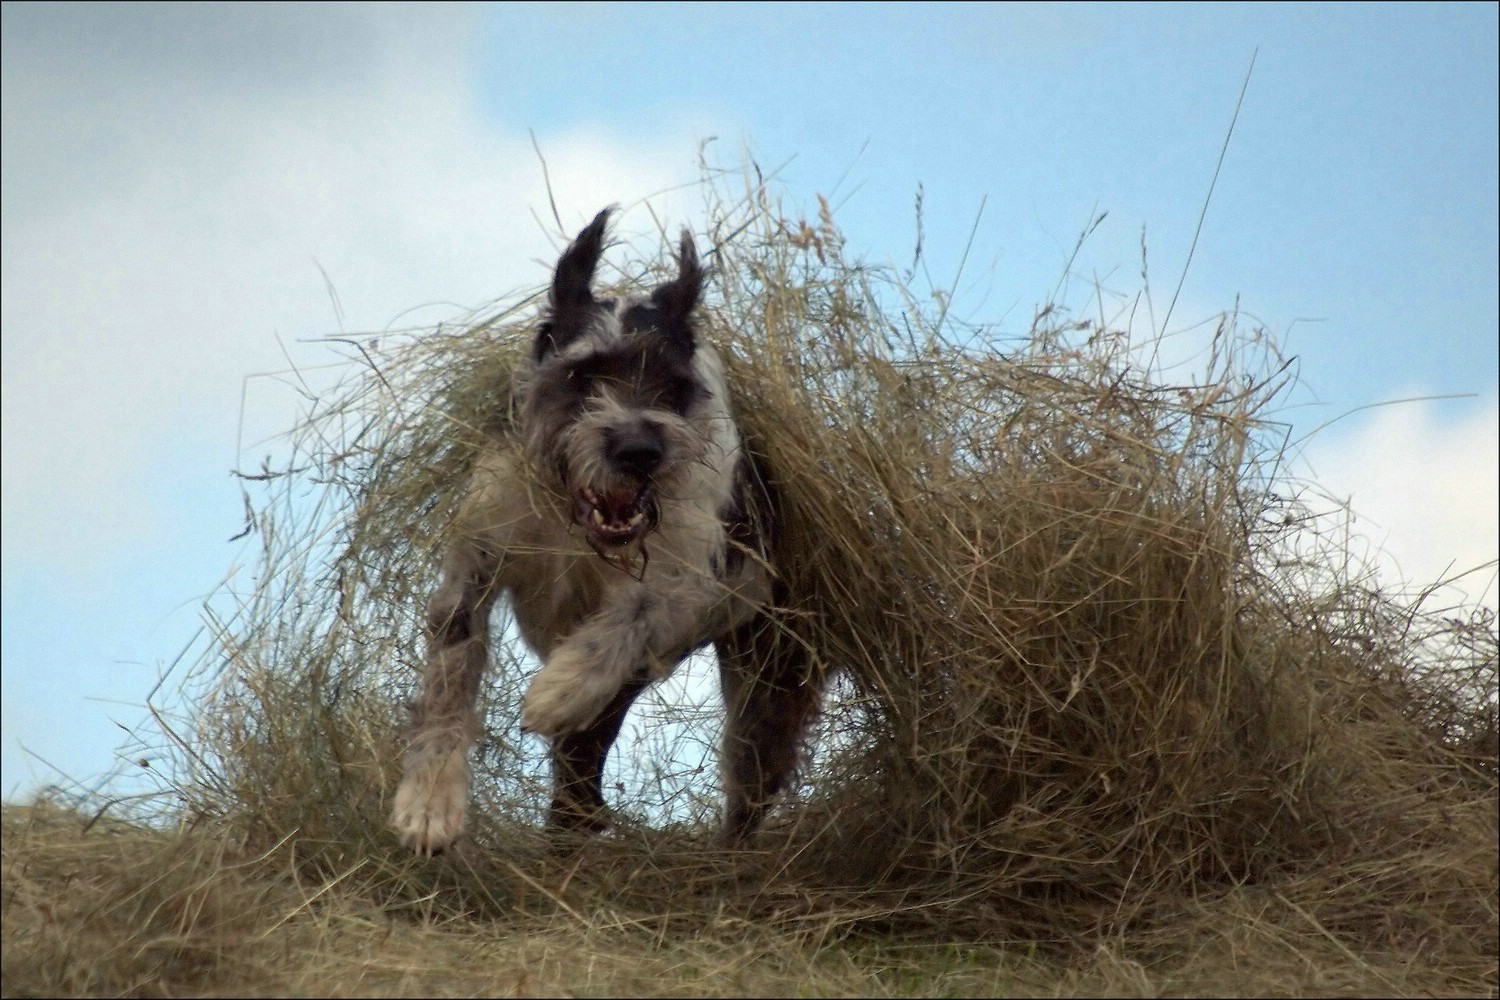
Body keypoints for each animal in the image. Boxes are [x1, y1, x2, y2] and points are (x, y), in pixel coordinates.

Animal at [387, 209, 822, 851]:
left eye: (671, 382)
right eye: (582, 373)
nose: (639, 451)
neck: (573, 520)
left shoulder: (697, 576)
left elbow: (635, 611)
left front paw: (558, 690)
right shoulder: (477, 559)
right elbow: (451, 669)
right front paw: (430, 800)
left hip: (765, 684)